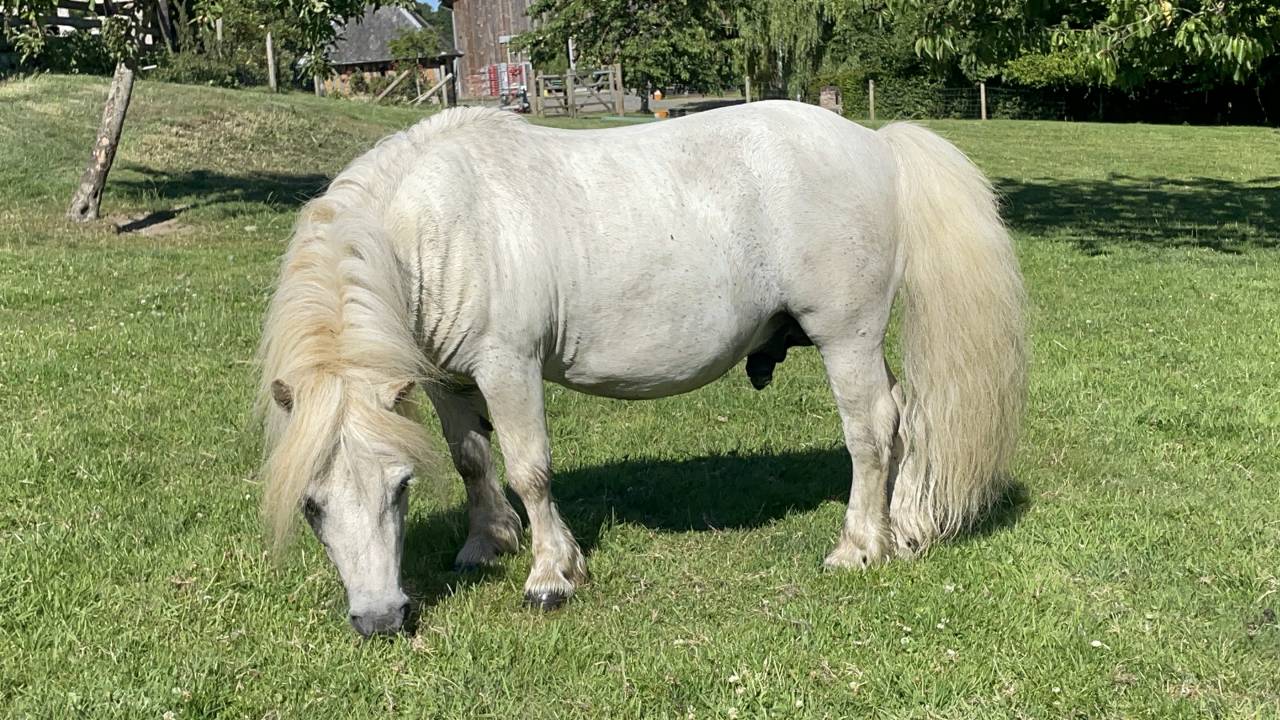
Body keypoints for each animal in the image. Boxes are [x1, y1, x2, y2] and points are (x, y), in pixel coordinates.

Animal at [256, 101, 1026, 638]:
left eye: (398, 489)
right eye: (312, 505)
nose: (381, 620)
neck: (439, 224)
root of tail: (874, 144)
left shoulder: (508, 366)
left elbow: (529, 470)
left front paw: (551, 575)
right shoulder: (449, 380)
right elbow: (474, 459)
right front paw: (486, 544)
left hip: (847, 338)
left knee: (870, 430)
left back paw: (860, 546)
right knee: (901, 421)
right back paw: (902, 530)